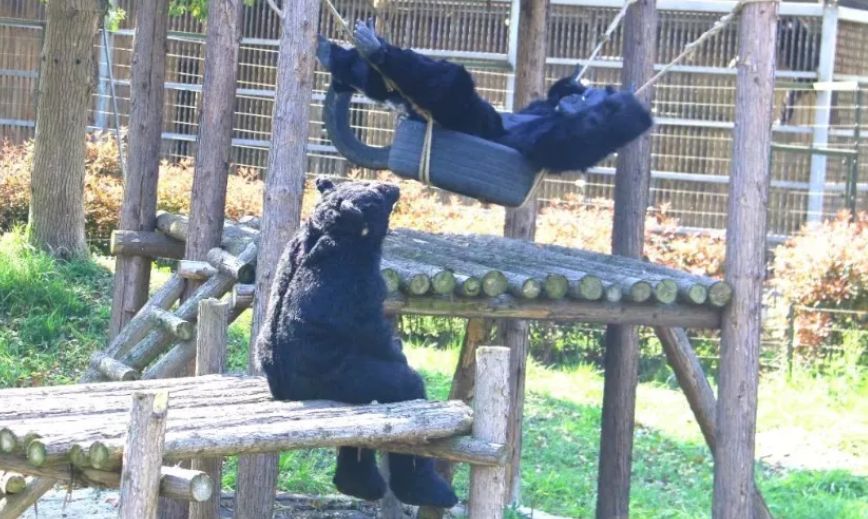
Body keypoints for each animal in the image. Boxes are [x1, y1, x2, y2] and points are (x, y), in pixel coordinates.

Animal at [256, 177, 458, 509]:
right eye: (376, 192)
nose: (393, 186)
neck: (330, 227)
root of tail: (286, 391)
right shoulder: (360, 276)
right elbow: (374, 329)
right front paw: (398, 350)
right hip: (345, 378)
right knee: (402, 385)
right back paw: (426, 488)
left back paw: (360, 484)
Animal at [316, 20, 653, 173]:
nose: (583, 98)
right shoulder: (545, 107)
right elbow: (547, 98)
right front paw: (570, 87)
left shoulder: (572, 135)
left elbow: (611, 125)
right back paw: (343, 62)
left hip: (465, 118)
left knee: (451, 84)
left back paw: (377, 54)